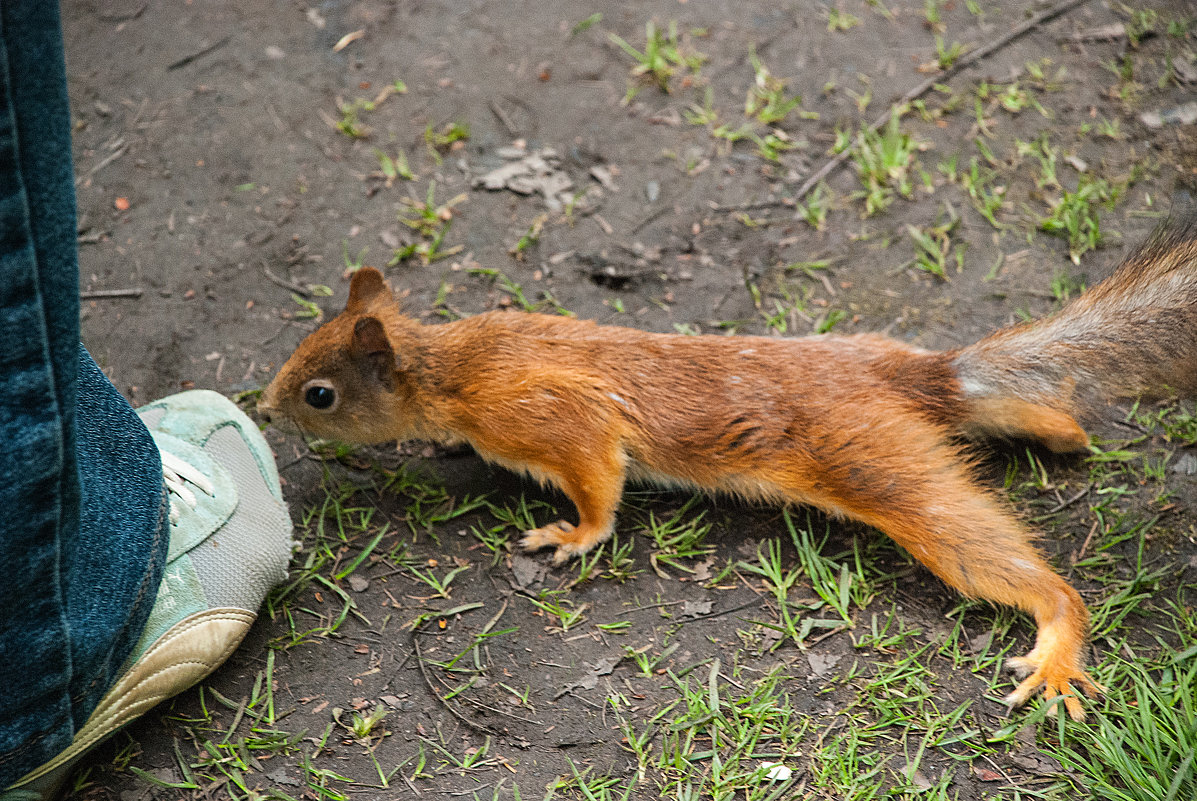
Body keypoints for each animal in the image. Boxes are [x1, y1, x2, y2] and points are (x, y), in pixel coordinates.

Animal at [259, 211, 1197, 718]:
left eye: (319, 394)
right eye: (300, 353)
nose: (263, 409)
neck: (451, 366)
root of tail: (915, 376)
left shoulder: (551, 416)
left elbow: (599, 478)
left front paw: (574, 533)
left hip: (874, 462)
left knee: (1003, 558)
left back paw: (1057, 644)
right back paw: (1057, 428)